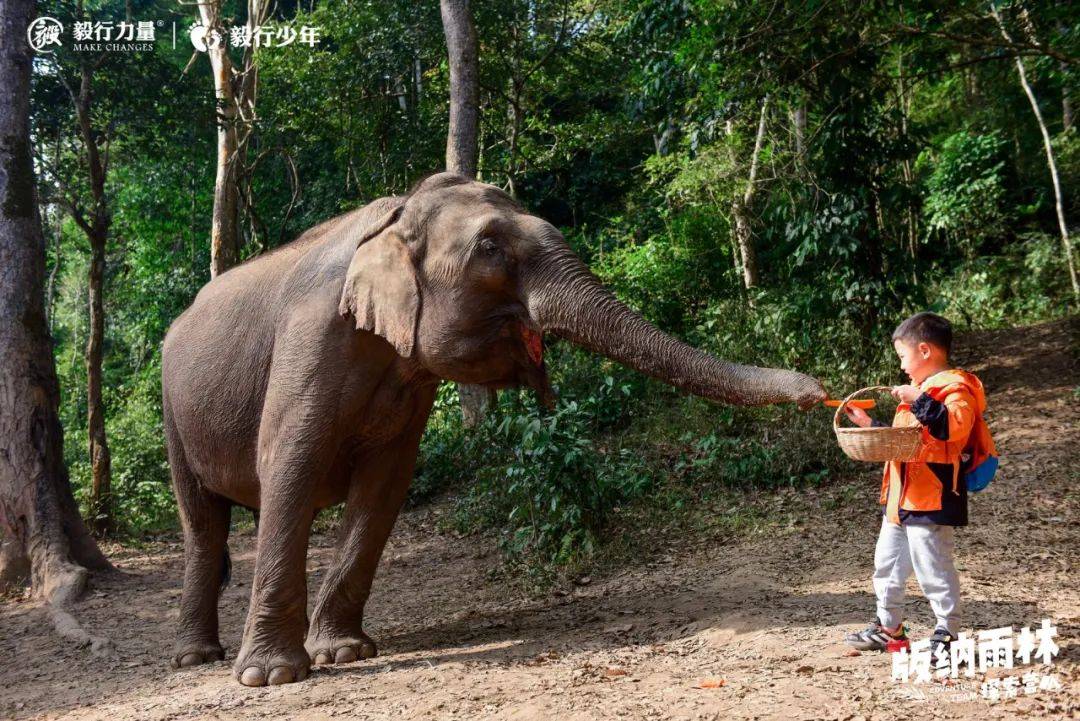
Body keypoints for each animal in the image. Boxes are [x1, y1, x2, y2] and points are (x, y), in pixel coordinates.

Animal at [159, 170, 820, 686]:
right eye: (490, 249)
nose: (816, 391)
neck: (397, 211)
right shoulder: (311, 337)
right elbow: (289, 466)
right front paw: (271, 676)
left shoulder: (411, 385)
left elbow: (385, 485)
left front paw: (344, 653)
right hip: (172, 410)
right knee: (203, 525)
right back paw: (196, 658)